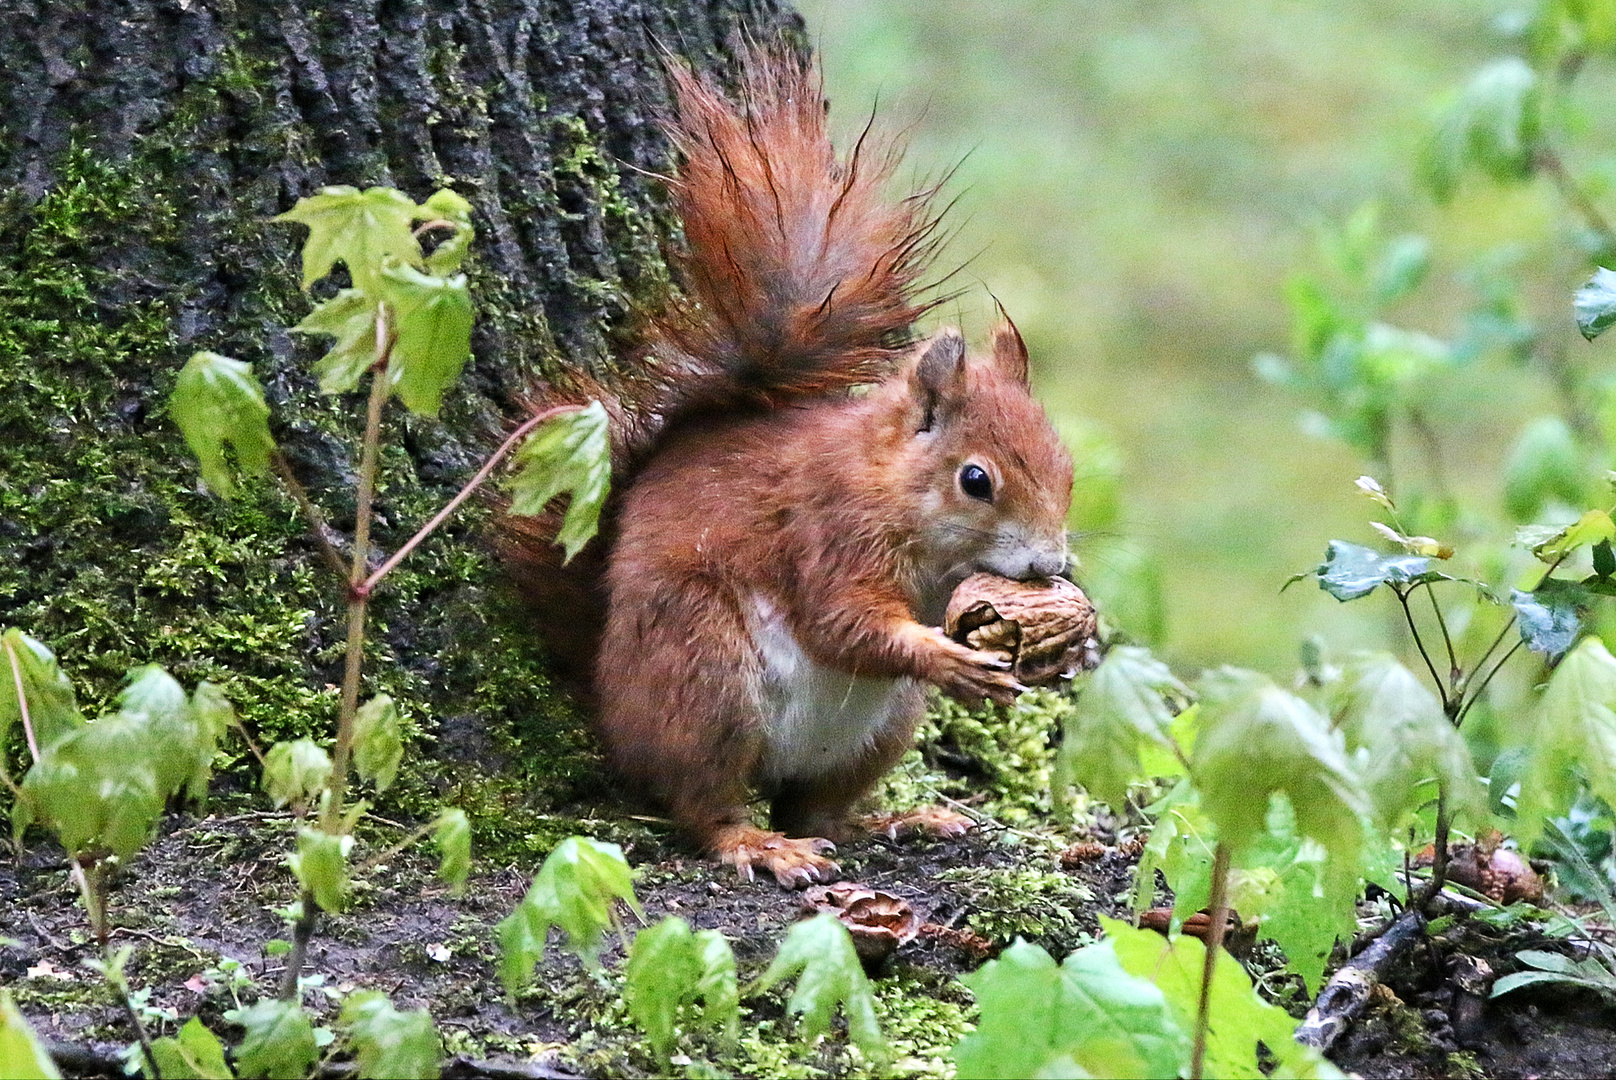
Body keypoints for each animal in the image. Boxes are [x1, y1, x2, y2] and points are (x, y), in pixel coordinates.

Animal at [504, 48, 1073, 885]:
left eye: (1067, 466)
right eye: (977, 481)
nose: (1052, 566)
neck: (890, 489)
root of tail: (611, 708)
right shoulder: (828, 533)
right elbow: (844, 623)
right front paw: (947, 657)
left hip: (880, 729)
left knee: (820, 808)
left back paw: (898, 819)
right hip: (704, 674)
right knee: (705, 802)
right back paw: (760, 846)